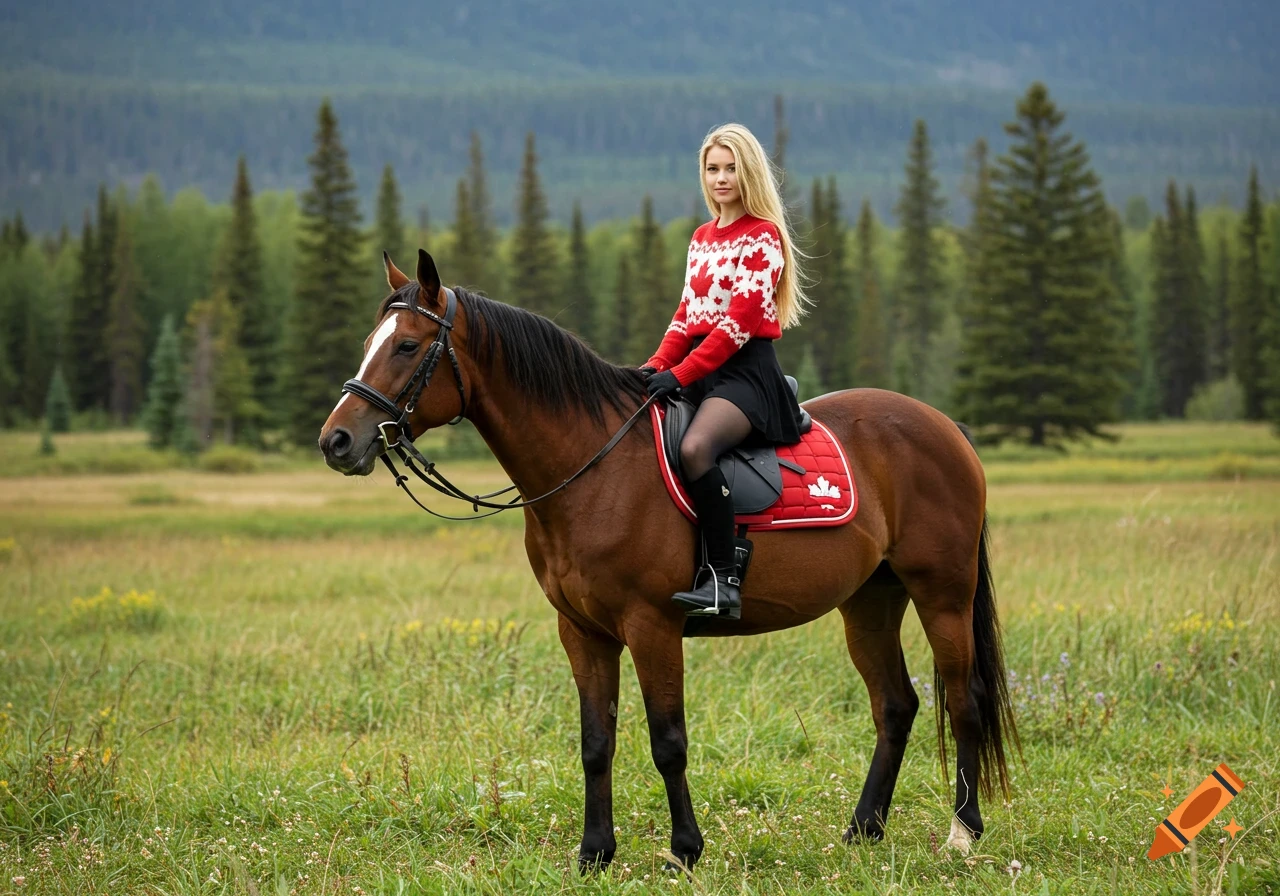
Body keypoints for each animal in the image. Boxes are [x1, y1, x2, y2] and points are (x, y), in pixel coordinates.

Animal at [319, 250, 1017, 872]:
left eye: (407, 347)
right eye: (370, 341)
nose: (337, 441)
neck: (594, 467)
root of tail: (945, 427)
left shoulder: (652, 626)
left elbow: (668, 741)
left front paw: (685, 851)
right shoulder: (582, 631)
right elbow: (596, 742)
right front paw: (594, 854)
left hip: (943, 593)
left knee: (964, 699)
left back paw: (962, 834)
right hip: (870, 600)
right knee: (896, 706)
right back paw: (863, 830)